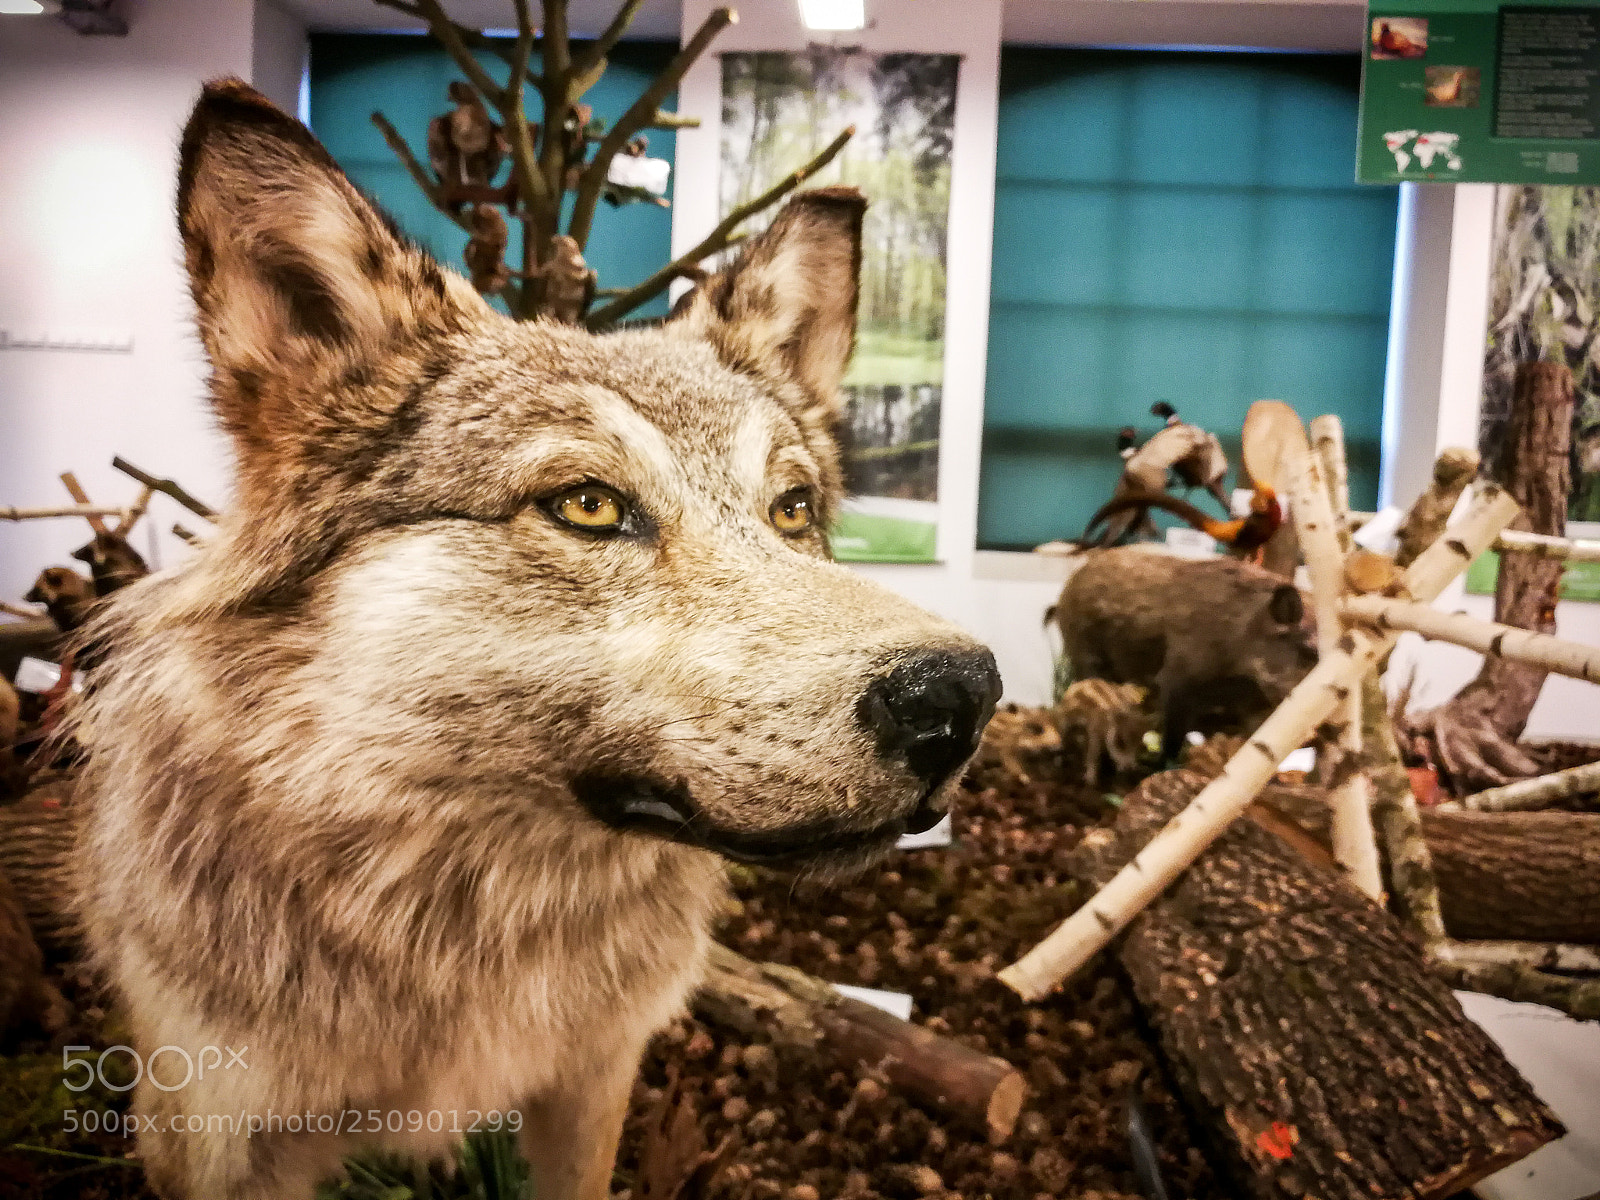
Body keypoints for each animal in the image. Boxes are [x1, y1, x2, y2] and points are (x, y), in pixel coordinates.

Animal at [72, 80, 1000, 1200]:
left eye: (791, 511)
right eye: (588, 505)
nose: (959, 697)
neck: (474, 940)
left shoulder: (595, 1082)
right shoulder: (214, 1140)